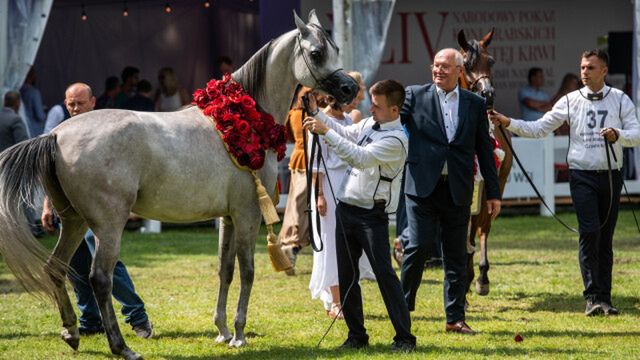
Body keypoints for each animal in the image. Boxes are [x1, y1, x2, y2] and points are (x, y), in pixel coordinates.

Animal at [0, 11, 358, 360]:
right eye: (316, 53)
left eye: (337, 49)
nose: (349, 88)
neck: (244, 118)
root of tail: (56, 134)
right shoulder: (247, 214)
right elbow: (248, 270)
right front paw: (239, 335)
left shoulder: (227, 217)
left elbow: (225, 269)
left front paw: (222, 330)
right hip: (109, 225)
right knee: (100, 278)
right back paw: (121, 347)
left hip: (73, 221)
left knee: (55, 268)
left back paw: (72, 333)